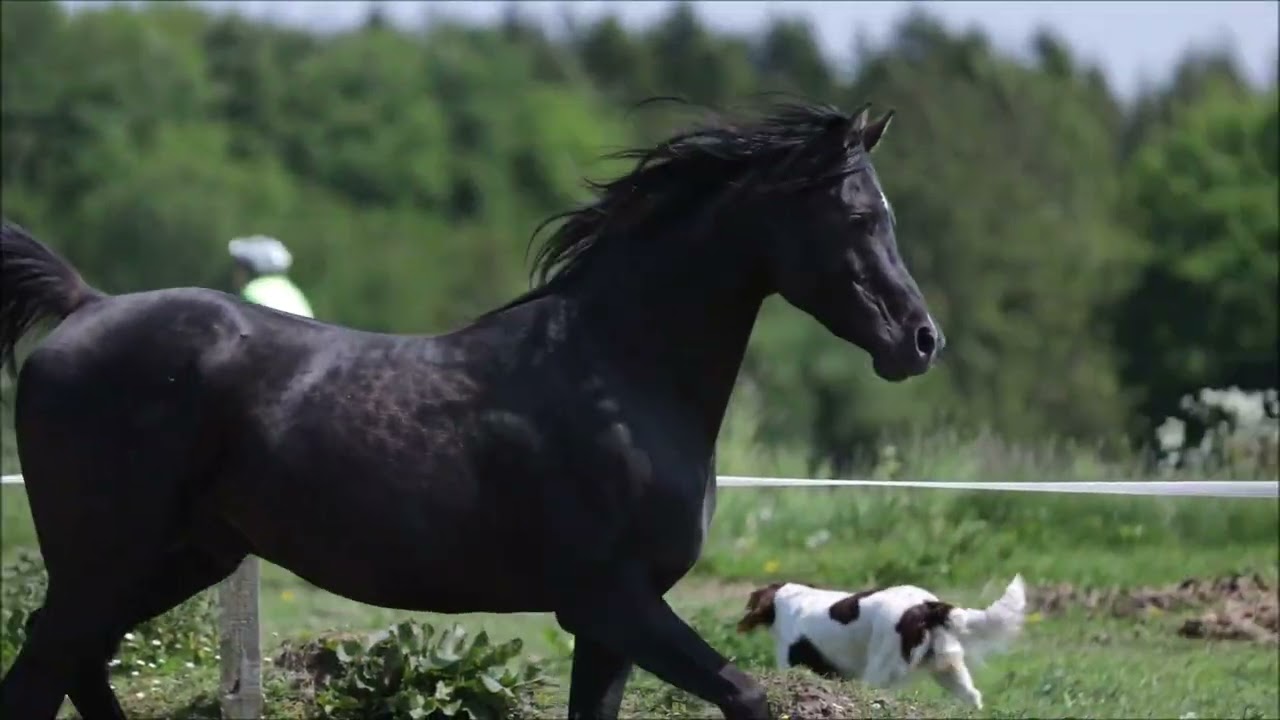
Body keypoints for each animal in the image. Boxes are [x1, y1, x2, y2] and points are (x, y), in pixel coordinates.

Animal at [0, 100, 942, 720]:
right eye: (860, 215)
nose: (920, 341)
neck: (619, 374)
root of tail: (84, 306)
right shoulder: (611, 601)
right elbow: (747, 695)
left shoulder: (608, 628)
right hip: (106, 558)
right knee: (44, 672)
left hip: (180, 557)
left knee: (72, 664)